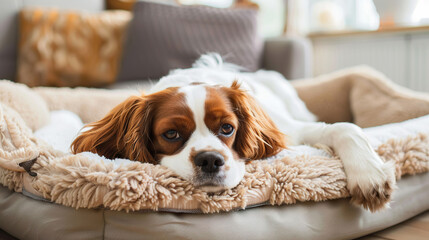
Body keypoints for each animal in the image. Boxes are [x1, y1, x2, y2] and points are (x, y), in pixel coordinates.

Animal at [71, 54, 394, 212]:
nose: (210, 160)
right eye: (172, 134)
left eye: (227, 128)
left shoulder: (293, 130)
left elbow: (344, 128)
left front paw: (369, 175)